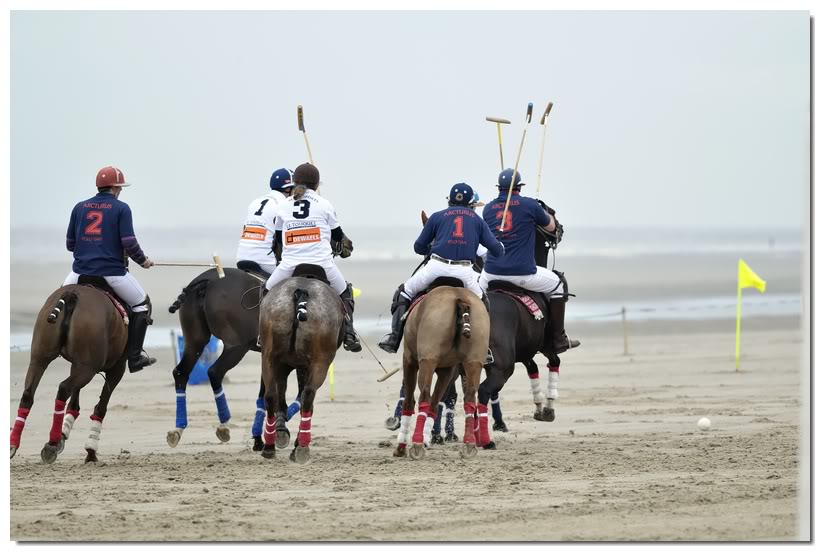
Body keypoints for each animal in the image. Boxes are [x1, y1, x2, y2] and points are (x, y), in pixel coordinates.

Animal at [9, 284, 129, 462]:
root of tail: (72, 294)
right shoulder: (117, 368)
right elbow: (100, 406)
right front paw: (90, 450)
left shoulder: (76, 364)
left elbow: (75, 402)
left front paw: (64, 434)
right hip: (88, 367)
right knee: (64, 388)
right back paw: (51, 443)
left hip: (40, 357)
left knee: (28, 393)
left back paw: (13, 444)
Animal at [260, 262, 344, 462]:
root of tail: (302, 293)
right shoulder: (304, 366)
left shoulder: (285, 364)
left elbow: (281, 395)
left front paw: (280, 431)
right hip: (321, 362)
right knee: (308, 395)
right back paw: (302, 446)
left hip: (268, 358)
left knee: (271, 395)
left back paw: (269, 445)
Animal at [392, 284, 490, 458]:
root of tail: (460, 298)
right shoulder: (447, 369)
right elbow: (435, 403)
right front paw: (427, 438)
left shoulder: (410, 361)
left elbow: (410, 402)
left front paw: (403, 445)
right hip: (474, 362)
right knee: (470, 398)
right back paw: (469, 445)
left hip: (427, 361)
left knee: (424, 396)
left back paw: (416, 445)